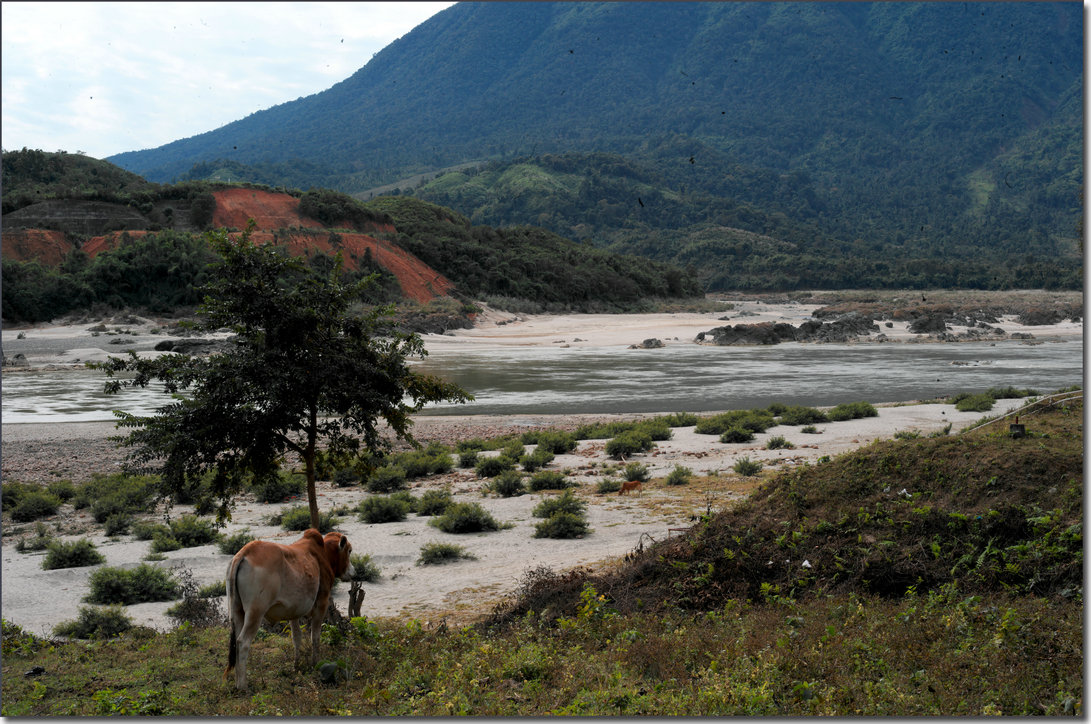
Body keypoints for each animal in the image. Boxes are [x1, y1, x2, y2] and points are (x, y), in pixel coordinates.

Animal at [223, 525, 355, 689]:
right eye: (349, 550)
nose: (353, 572)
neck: (322, 554)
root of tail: (244, 553)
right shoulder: (322, 605)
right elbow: (315, 637)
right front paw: (315, 663)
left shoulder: (293, 613)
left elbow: (296, 638)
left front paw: (296, 666)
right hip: (255, 613)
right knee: (242, 642)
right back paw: (243, 686)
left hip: (237, 612)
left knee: (235, 642)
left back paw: (237, 682)